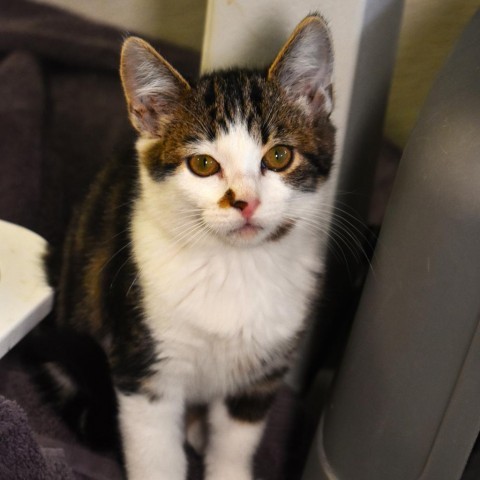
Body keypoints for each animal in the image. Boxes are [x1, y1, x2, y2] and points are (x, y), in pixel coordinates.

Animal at [40, 11, 334, 480]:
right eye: (203, 164)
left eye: (279, 157)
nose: (245, 202)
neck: (233, 266)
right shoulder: (144, 366)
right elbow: (156, 451)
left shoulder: (264, 371)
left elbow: (235, 440)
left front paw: (227, 466)